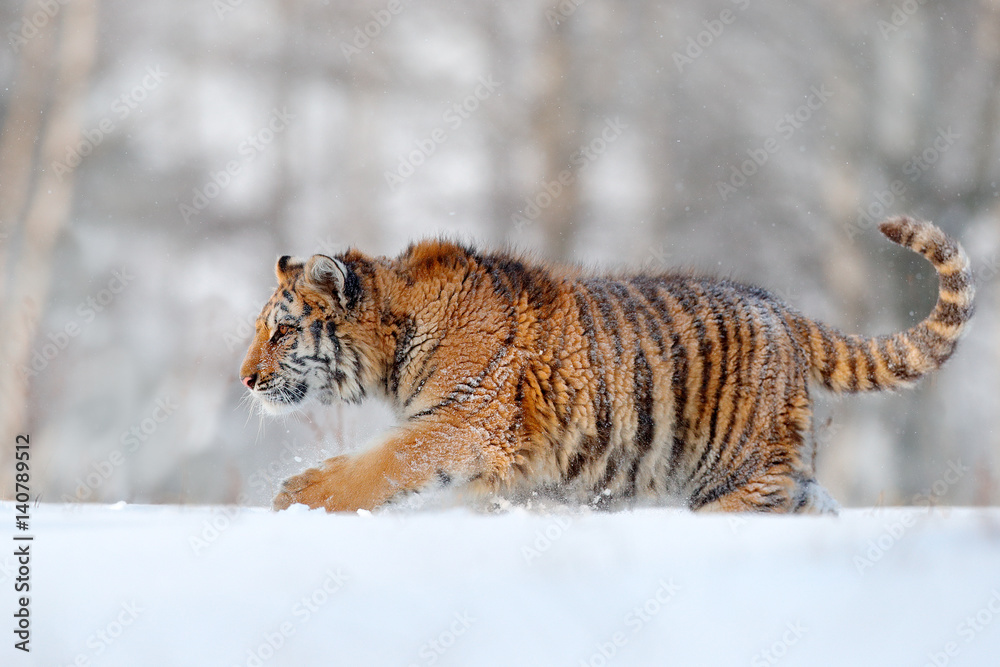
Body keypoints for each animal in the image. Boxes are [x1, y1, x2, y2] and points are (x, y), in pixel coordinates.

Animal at [239, 216, 974, 514]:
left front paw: (297, 498)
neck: (393, 347)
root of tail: (782, 309)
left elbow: (382, 464)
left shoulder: (464, 421)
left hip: (737, 473)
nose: (245, 378)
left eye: (282, 330)